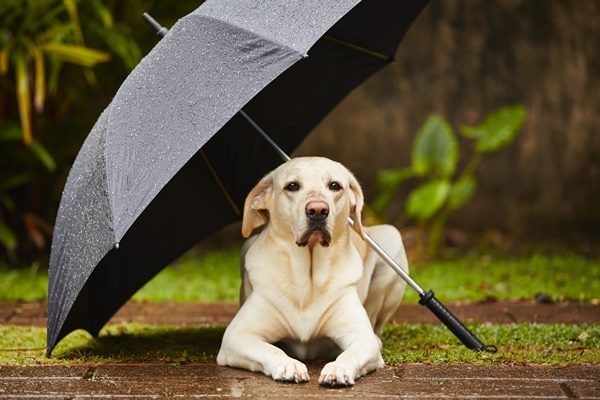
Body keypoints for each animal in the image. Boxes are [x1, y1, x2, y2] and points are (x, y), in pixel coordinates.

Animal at [216, 155, 408, 386]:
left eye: (335, 185)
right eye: (292, 186)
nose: (317, 210)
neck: (308, 278)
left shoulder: (361, 336)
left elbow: (352, 352)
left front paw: (338, 369)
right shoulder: (237, 335)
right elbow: (270, 349)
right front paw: (288, 365)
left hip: (392, 238)